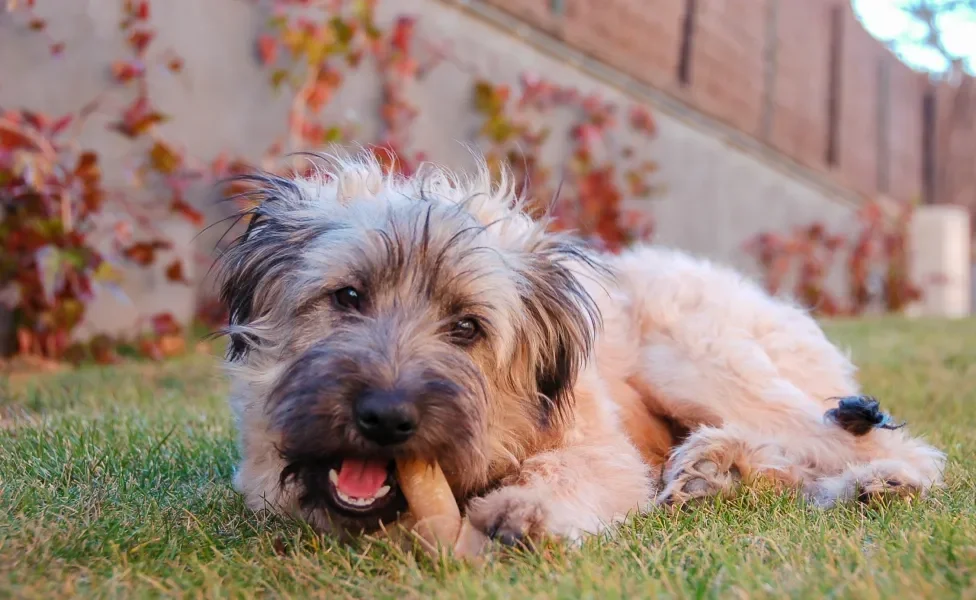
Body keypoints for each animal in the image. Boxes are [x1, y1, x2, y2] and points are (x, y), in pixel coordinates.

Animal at [214, 151, 944, 548]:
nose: (386, 419)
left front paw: (525, 507)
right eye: (348, 297)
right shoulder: (265, 480)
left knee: (878, 443)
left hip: (696, 359)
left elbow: (574, 474)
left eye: (467, 328)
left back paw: (876, 481)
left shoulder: (600, 448)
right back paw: (715, 470)